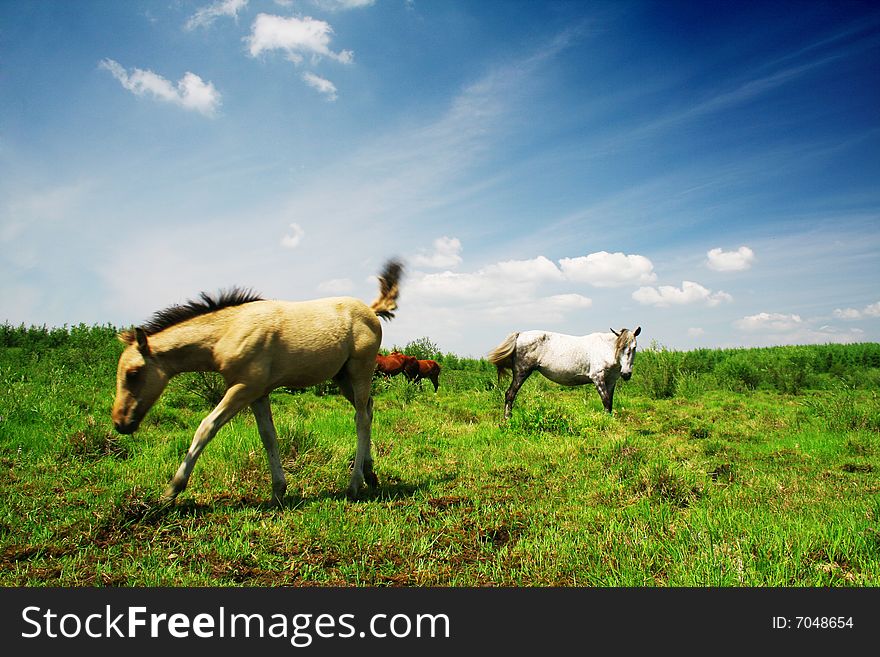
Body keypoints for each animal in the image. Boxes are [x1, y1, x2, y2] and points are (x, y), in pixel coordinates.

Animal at [111, 258, 404, 500]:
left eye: (133, 373)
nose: (120, 423)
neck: (228, 331)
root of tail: (371, 310)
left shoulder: (243, 387)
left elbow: (206, 427)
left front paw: (172, 490)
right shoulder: (258, 393)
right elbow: (268, 436)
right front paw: (278, 490)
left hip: (359, 371)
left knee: (361, 418)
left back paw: (354, 483)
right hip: (342, 378)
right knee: (368, 409)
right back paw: (369, 473)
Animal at [488, 326, 640, 418]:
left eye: (634, 347)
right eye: (620, 347)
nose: (626, 374)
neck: (605, 349)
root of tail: (520, 335)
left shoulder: (611, 382)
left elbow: (610, 402)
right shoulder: (598, 378)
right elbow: (606, 400)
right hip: (521, 373)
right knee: (510, 394)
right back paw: (507, 419)